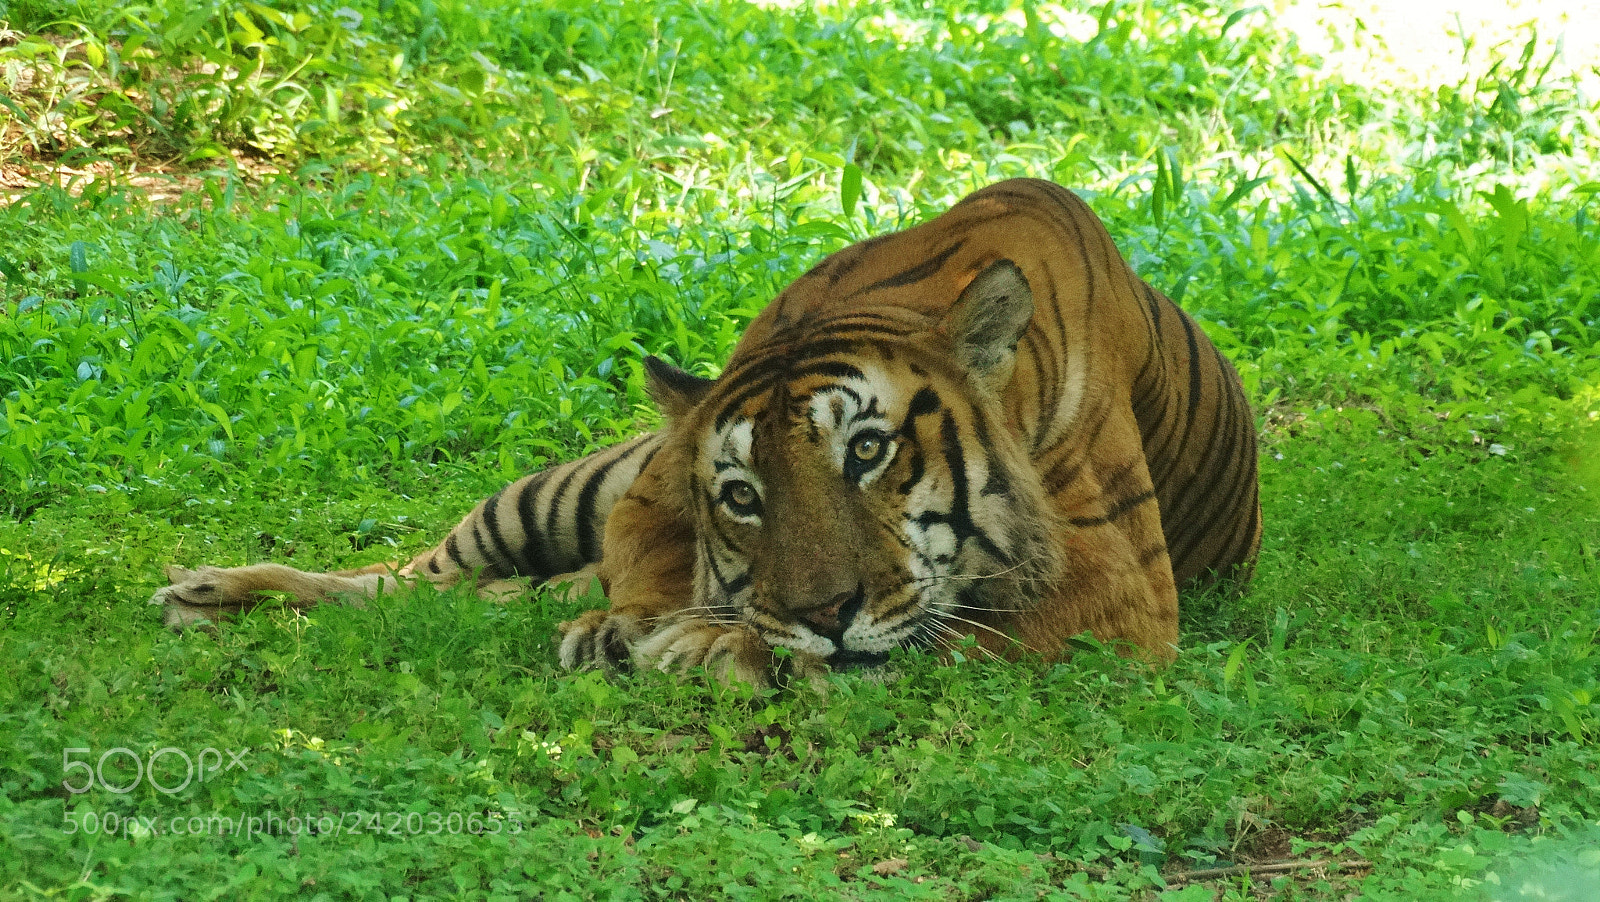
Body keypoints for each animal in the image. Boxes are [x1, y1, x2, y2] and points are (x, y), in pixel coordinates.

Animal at [153, 178, 1261, 686]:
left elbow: (942, 633)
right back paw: (207, 593)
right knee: (402, 582)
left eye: (868, 451)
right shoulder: (654, 483)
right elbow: (654, 559)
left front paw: (705, 638)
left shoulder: (1117, 593)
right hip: (549, 496)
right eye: (741, 495)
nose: (824, 610)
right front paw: (649, 624)